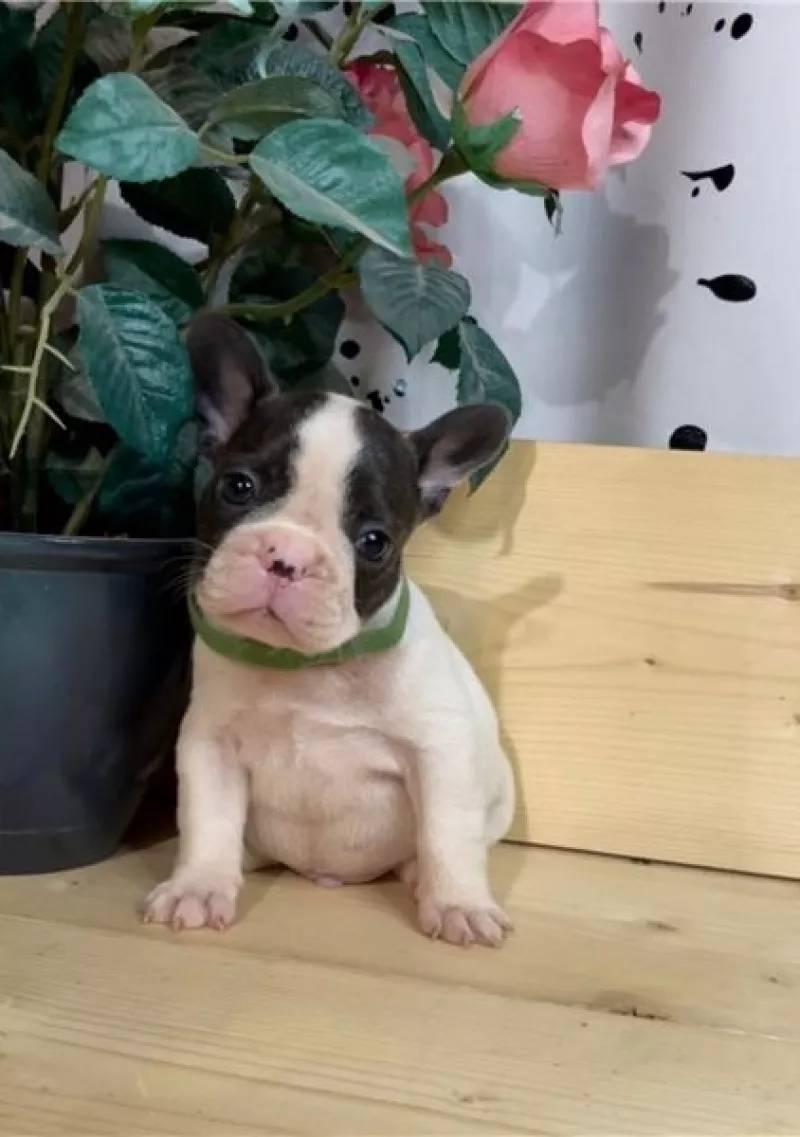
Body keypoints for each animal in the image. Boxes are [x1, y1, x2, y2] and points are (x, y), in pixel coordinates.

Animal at [143, 313, 515, 947]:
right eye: (237, 487)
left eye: (374, 542)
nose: (287, 555)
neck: (305, 668)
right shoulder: (210, 745)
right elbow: (208, 820)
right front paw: (198, 886)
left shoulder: (439, 750)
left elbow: (448, 832)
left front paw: (458, 903)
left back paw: (419, 876)